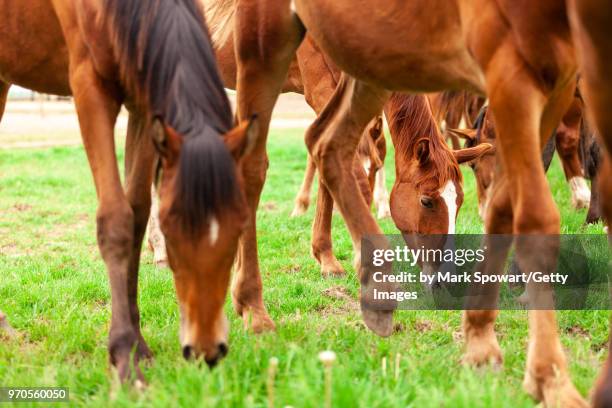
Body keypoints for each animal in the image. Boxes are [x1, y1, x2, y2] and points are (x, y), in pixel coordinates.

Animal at [0, 0, 256, 382]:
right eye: (171, 236)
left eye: (238, 230)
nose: (206, 351)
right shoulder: (90, 87)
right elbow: (116, 218)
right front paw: (124, 356)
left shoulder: (144, 101)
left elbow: (136, 216)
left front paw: (138, 345)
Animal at [233, 0, 592, 404]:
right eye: (427, 201)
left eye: (459, 202)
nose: (444, 279)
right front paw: (550, 378)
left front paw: (484, 342)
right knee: (257, 163)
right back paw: (252, 307)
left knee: (325, 143)